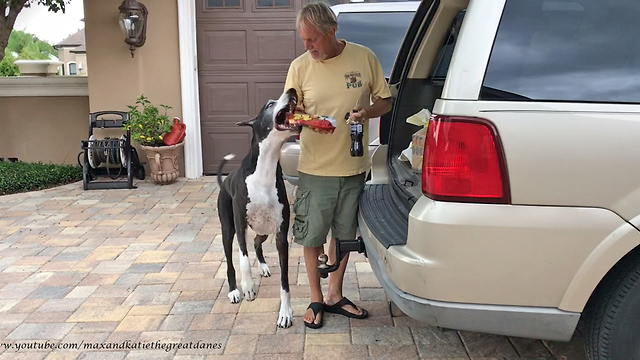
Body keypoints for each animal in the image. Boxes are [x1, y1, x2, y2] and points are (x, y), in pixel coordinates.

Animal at [218, 88, 300, 328]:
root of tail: (224, 182)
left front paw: (285, 313)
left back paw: (263, 266)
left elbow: (285, 282)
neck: (265, 167)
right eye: (269, 104)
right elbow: (243, 258)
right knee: (231, 260)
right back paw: (234, 290)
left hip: (264, 229)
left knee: (256, 242)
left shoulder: (281, 234)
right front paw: (248, 287)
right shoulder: (239, 223)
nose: (292, 90)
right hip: (228, 229)